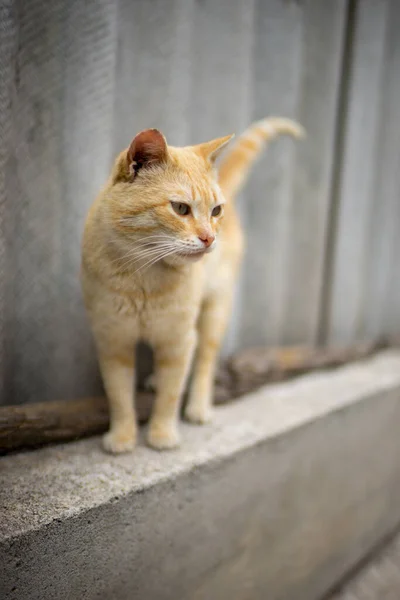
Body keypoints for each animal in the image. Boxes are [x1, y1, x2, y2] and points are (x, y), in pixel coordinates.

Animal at [80, 116, 304, 454]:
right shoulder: (113, 339)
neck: (144, 277)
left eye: (215, 211)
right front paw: (122, 437)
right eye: (181, 209)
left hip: (215, 312)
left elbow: (171, 394)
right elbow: (119, 395)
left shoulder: (178, 339)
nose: (209, 238)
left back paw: (198, 407)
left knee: (204, 362)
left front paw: (161, 434)